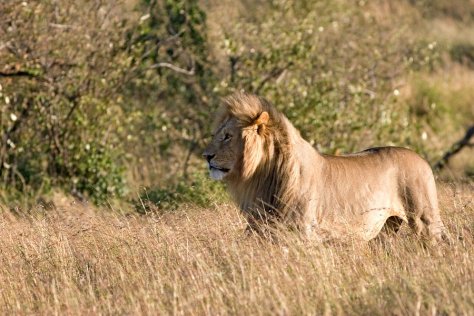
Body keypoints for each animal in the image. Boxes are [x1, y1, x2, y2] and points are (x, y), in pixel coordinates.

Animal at [204, 91, 448, 242]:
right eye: (216, 134)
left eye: (227, 136)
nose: (206, 156)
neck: (262, 178)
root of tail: (422, 159)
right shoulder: (259, 228)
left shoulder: (304, 233)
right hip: (385, 228)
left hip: (425, 220)